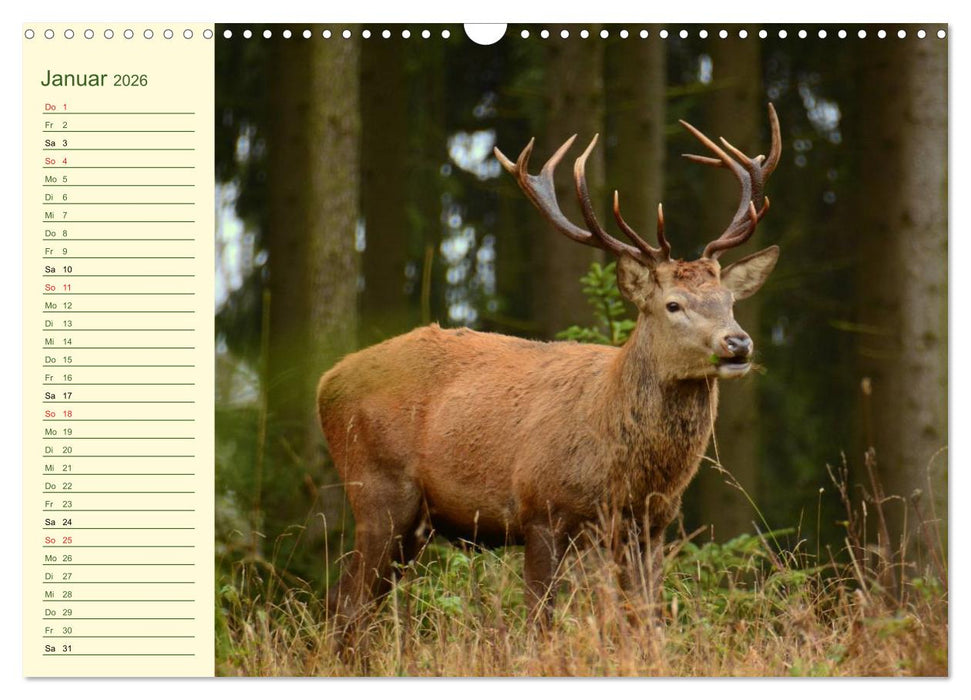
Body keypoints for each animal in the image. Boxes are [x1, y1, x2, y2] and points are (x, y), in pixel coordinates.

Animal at [317, 104, 781, 641]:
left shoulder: (649, 526)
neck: (625, 469)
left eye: (729, 300)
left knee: (352, 601)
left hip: (413, 523)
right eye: (673, 304)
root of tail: (326, 381)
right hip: (377, 490)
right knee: (347, 603)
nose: (738, 343)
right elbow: (540, 624)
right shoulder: (540, 510)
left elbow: (646, 624)